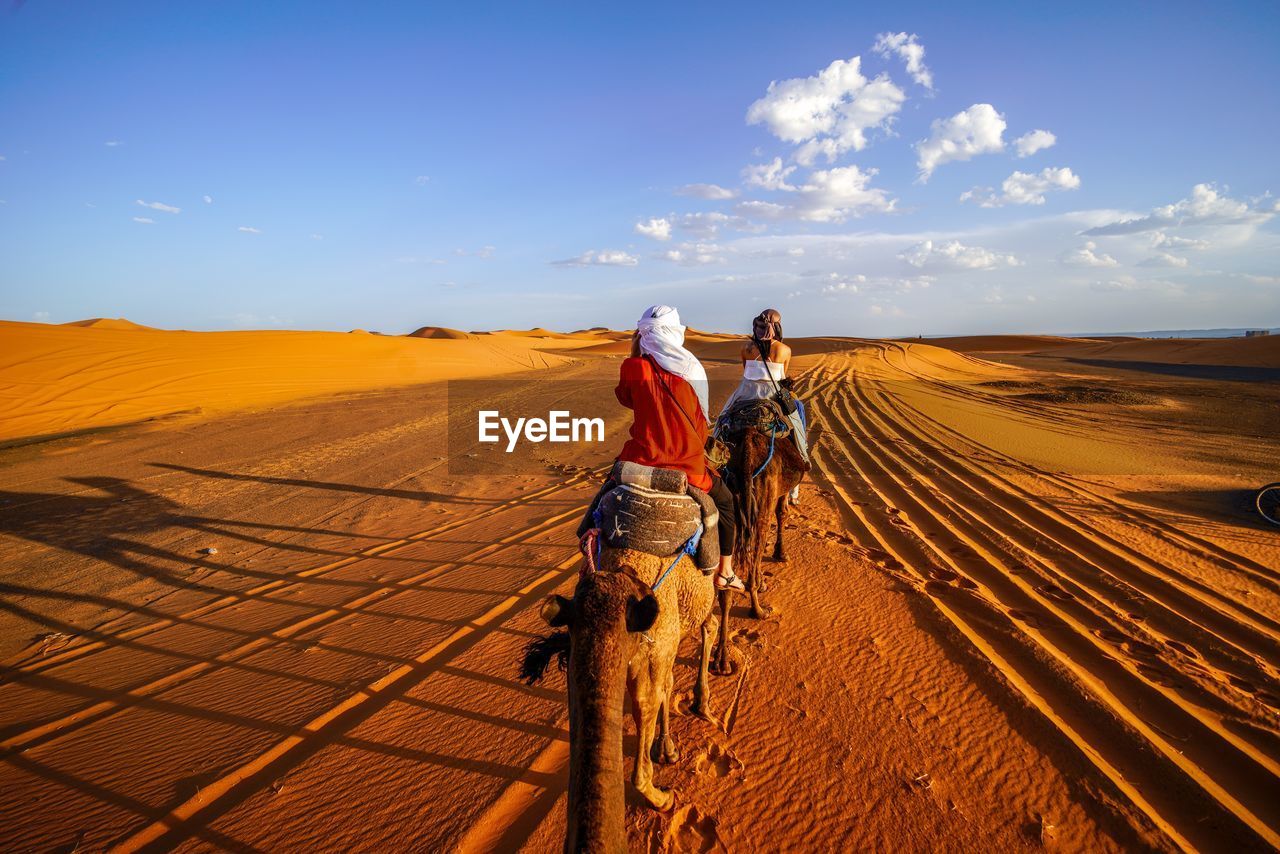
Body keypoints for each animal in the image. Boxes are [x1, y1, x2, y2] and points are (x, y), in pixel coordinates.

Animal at [716, 414, 803, 676]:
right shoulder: (778, 493)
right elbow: (782, 513)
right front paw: (781, 554)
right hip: (761, 500)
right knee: (759, 537)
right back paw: (758, 610)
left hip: (731, 502)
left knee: (725, 583)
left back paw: (722, 659)